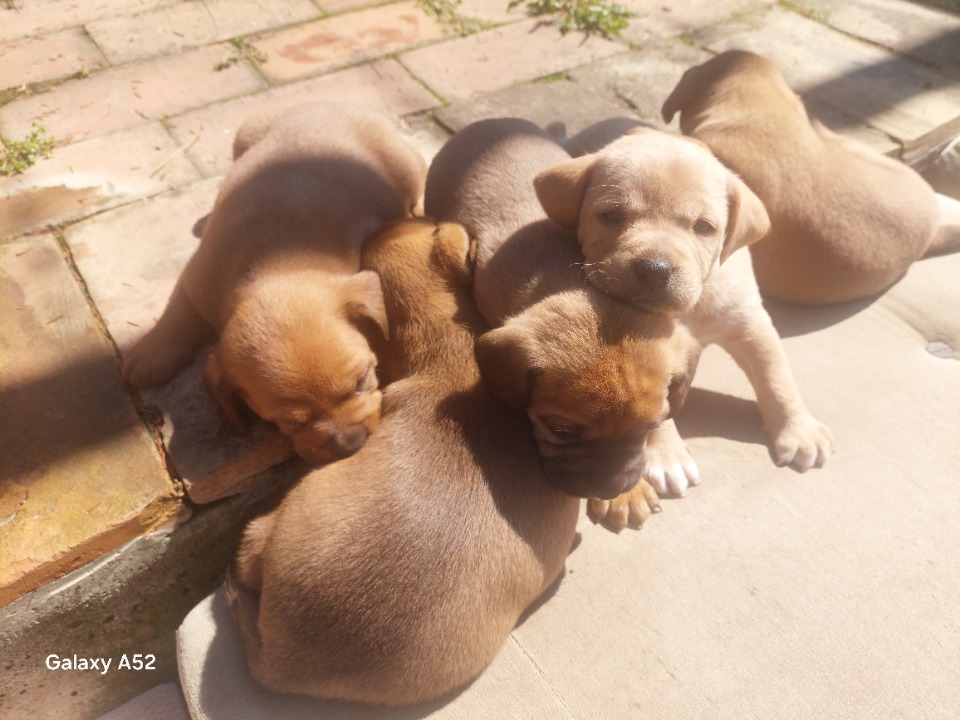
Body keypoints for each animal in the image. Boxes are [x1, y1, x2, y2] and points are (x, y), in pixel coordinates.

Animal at [122, 103, 426, 464]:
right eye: (292, 423)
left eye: (362, 381)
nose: (351, 444)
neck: (276, 260)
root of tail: (333, 104)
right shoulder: (197, 277)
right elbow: (177, 312)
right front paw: (153, 351)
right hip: (243, 136)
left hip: (405, 166)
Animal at [534, 123, 834, 528]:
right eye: (611, 216)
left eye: (704, 227)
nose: (655, 269)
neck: (689, 310)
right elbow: (656, 409)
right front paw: (667, 456)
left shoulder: (751, 323)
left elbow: (777, 376)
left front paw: (799, 430)